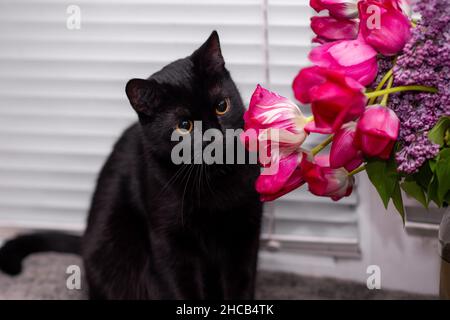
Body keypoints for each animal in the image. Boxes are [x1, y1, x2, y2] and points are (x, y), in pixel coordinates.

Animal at [0, 31, 264, 300]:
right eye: (184, 126)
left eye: (222, 106)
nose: (216, 138)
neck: (215, 181)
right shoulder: (169, 242)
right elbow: (182, 288)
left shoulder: (246, 232)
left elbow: (241, 284)